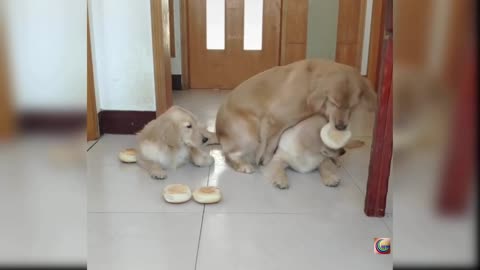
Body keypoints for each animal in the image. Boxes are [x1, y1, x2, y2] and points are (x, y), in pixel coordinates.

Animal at [216, 58, 376, 173]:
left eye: (353, 106)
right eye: (334, 102)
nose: (341, 127)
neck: (309, 85)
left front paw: (335, 157)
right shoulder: (273, 119)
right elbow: (269, 144)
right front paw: (265, 159)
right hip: (250, 135)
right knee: (228, 154)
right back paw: (243, 165)